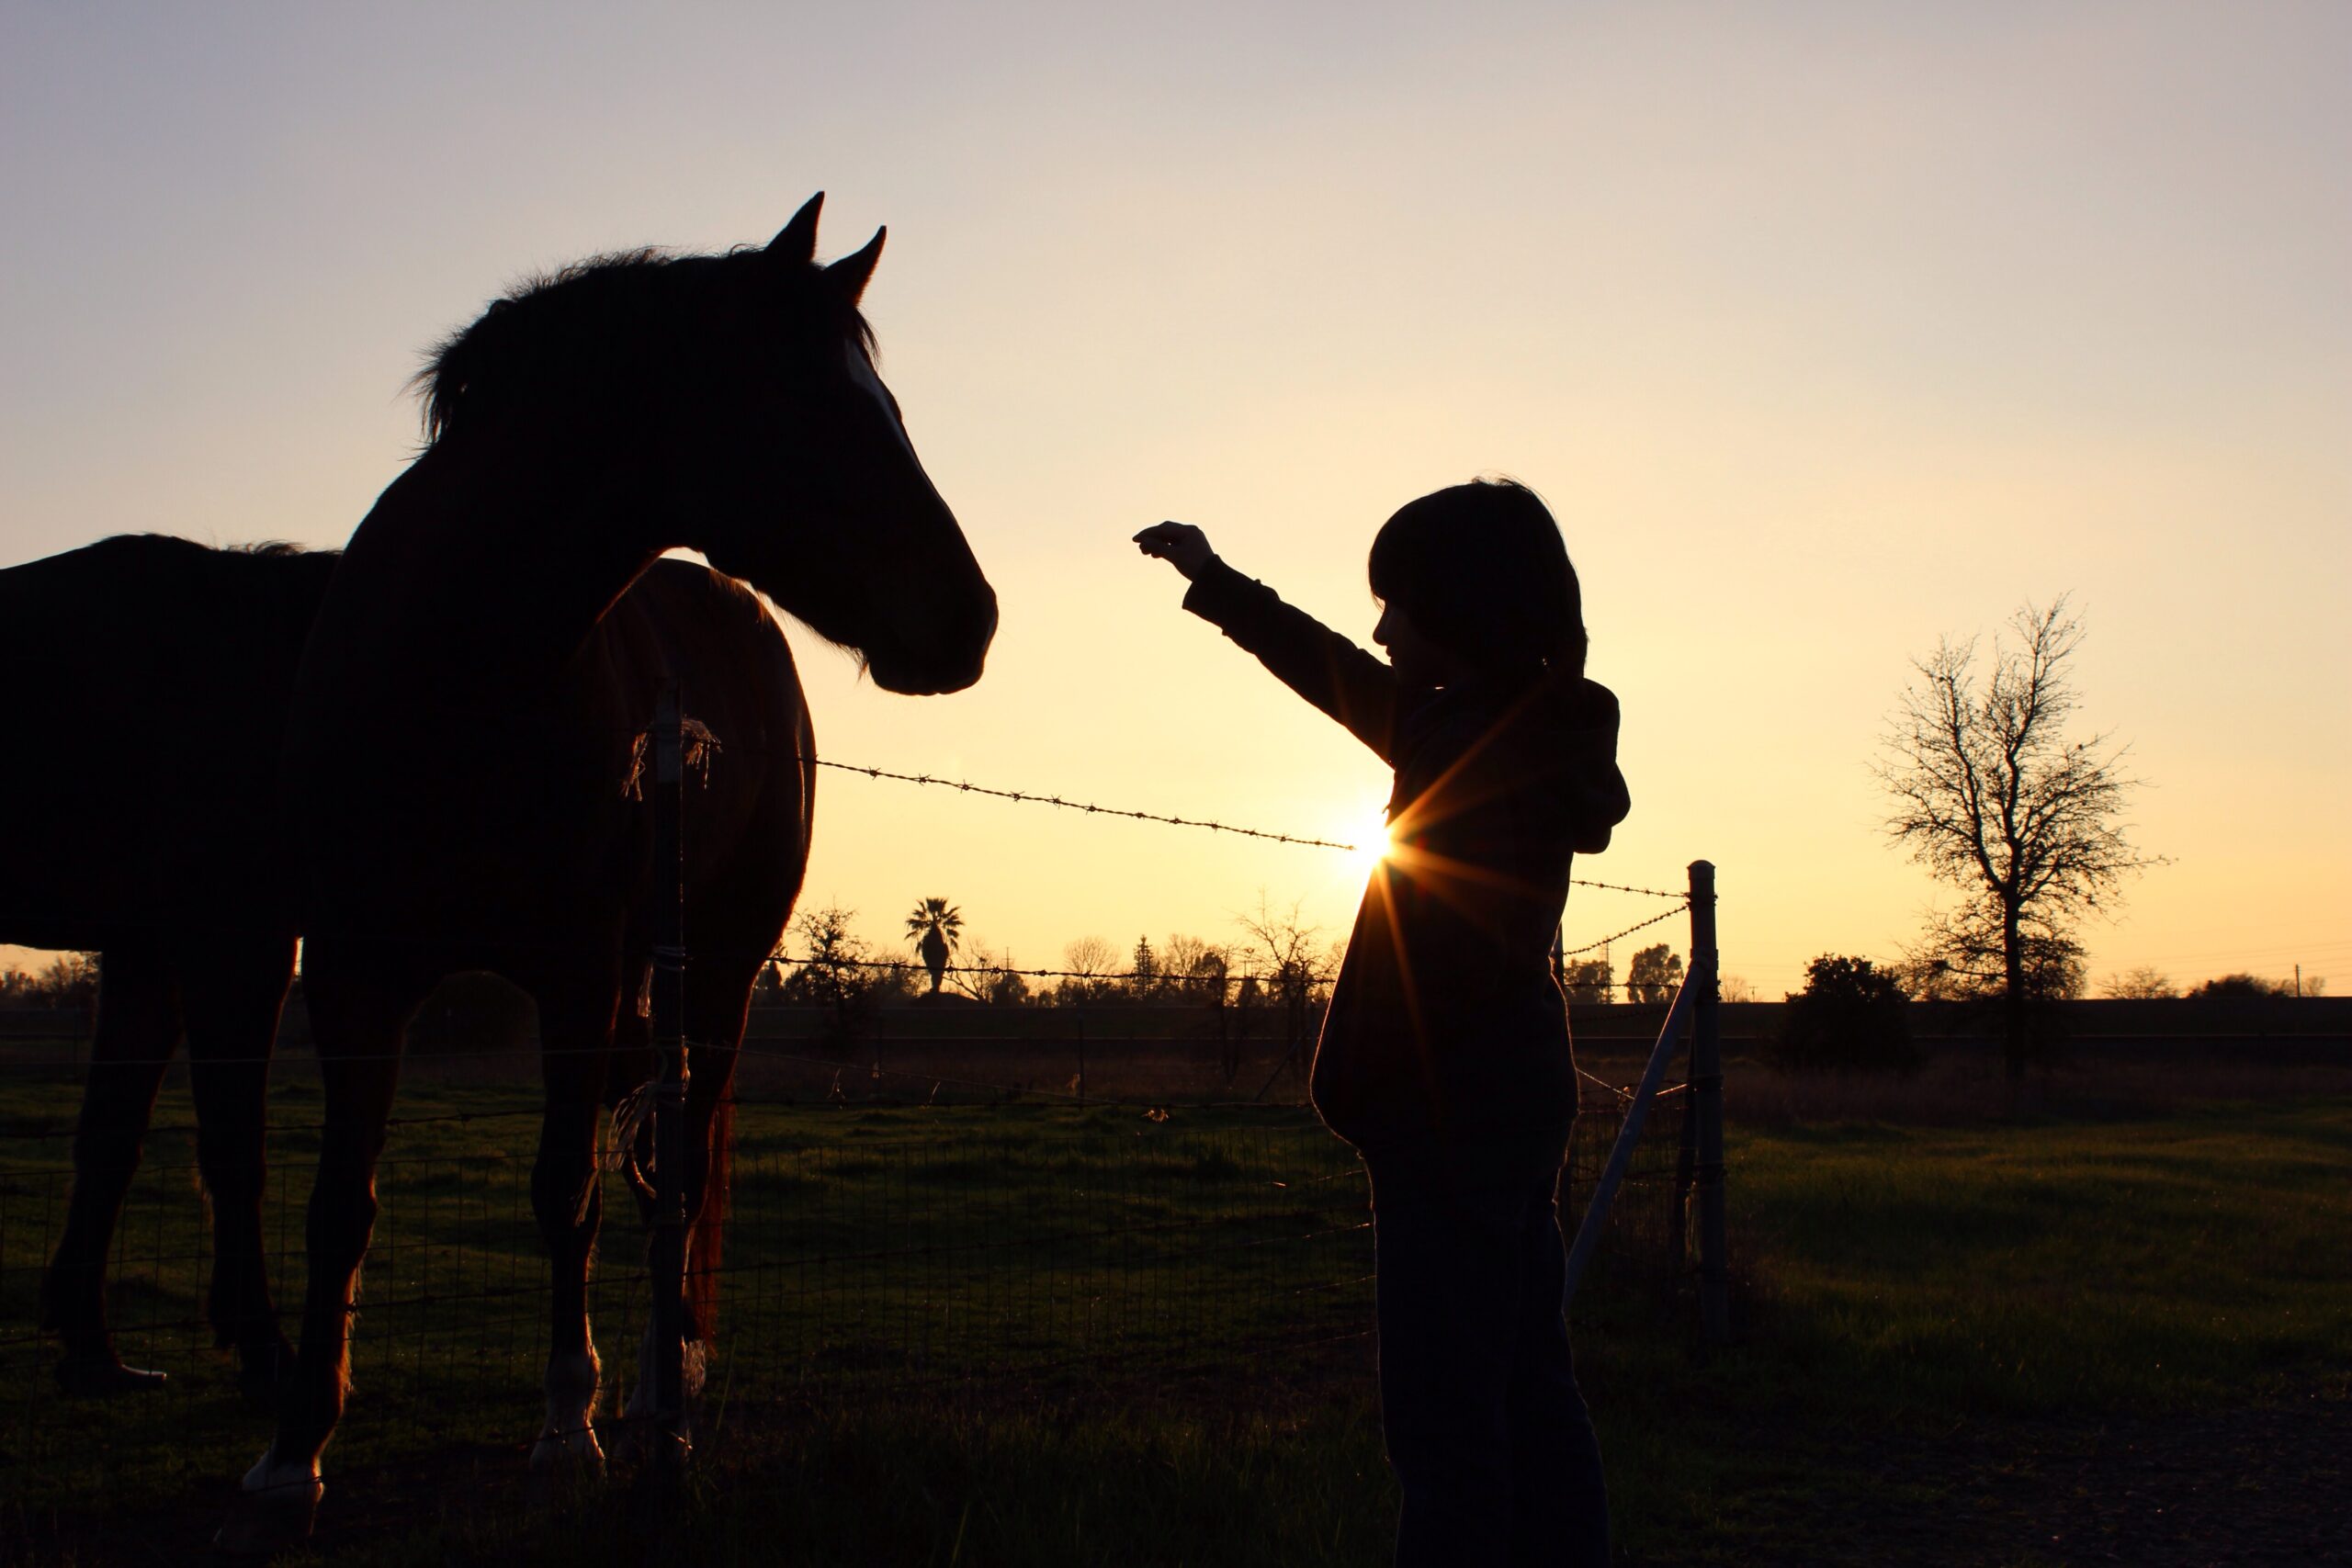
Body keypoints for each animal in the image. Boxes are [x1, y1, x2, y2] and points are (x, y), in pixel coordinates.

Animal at [2, 536, 336, 1398]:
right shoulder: (234, 936)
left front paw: (93, 1350)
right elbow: (234, 1143)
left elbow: (111, 1136)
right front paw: (267, 1351)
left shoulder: (147, 950)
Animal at [225, 194, 996, 1549]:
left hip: (722, 975)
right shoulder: (355, 972)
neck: (454, 673)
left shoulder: (575, 974)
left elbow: (564, 1193)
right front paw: (292, 1451)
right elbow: (338, 1206)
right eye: (817, 405)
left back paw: (651, 1402)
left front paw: (564, 1429)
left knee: (671, 1176)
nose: (971, 617)